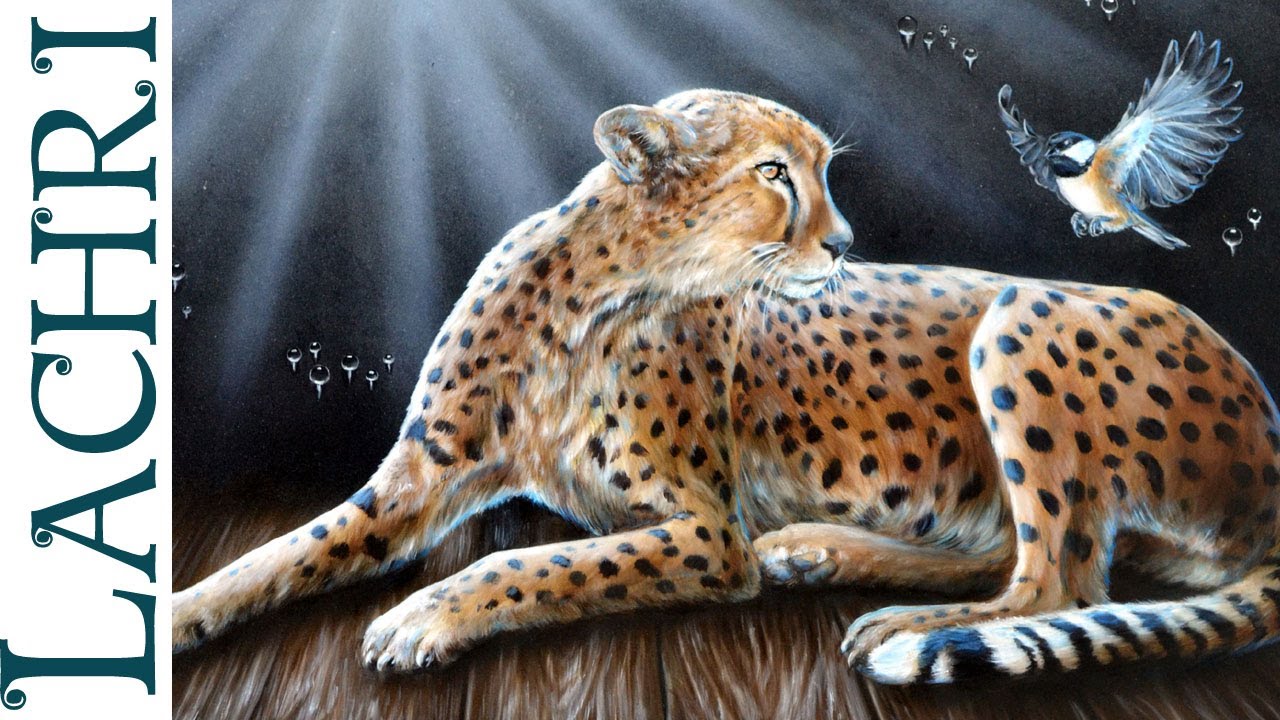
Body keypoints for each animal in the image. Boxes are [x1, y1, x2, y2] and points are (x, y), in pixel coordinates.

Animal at [173, 89, 1280, 684]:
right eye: (773, 174)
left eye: (822, 172)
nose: (844, 245)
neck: (601, 290)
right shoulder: (412, 484)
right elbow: (274, 554)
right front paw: (178, 615)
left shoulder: (703, 532)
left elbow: (526, 563)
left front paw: (425, 615)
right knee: (1018, 557)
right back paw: (819, 552)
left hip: (1020, 315)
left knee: (1061, 580)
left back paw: (898, 628)